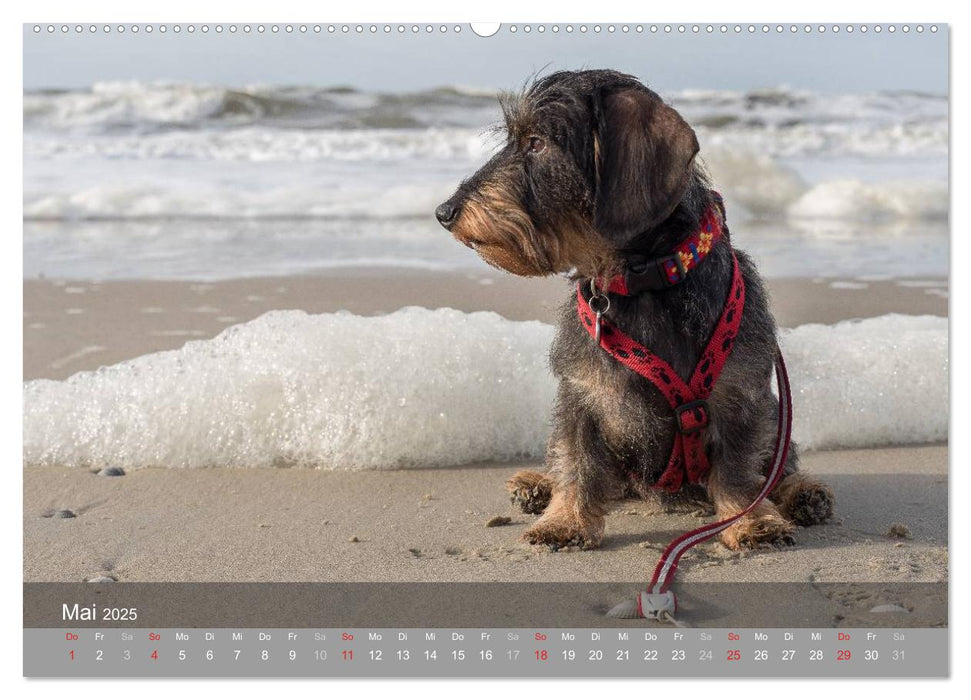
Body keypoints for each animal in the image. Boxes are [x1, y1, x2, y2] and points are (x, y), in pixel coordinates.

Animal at [436, 71, 832, 552]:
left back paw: (804, 494)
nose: (444, 212)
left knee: (779, 466)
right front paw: (565, 519)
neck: (645, 281)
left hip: (776, 414)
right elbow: (577, 459)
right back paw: (536, 485)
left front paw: (750, 519)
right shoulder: (582, 393)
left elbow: (739, 468)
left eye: (537, 143)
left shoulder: (740, 397)